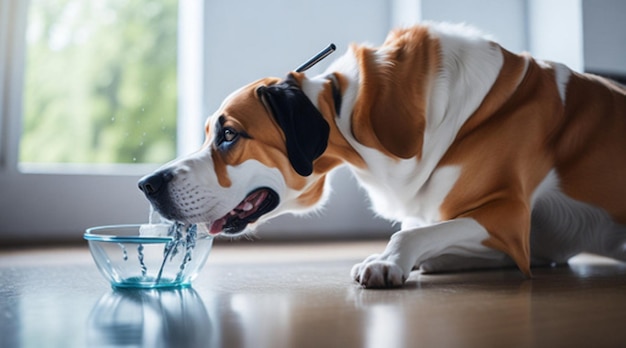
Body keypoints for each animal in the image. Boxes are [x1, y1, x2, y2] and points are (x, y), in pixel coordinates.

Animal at [139, 22, 624, 288]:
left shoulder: (507, 215)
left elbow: (412, 233)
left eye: (228, 136)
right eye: (209, 134)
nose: (147, 184)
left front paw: (388, 262)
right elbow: (423, 228)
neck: (350, 112)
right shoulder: (525, 241)